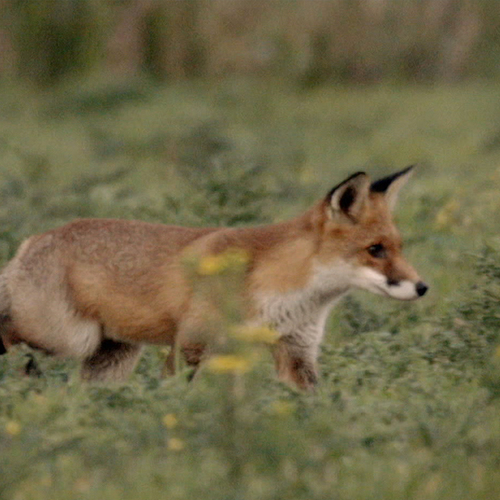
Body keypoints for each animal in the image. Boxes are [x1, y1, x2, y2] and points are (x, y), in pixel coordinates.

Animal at [0, 166, 428, 388]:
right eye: (375, 250)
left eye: (399, 247)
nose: (422, 287)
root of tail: (31, 240)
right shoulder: (195, 343)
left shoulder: (296, 350)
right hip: (68, 337)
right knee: (11, 337)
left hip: (111, 357)